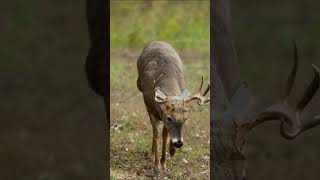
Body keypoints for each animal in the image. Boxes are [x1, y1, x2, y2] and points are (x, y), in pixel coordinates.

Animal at [137, 40, 210, 170]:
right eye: (169, 118)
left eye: (186, 118)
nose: (179, 143)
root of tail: (158, 41)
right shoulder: (150, 108)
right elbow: (156, 134)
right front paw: (156, 165)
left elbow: (165, 135)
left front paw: (164, 163)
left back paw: (171, 151)